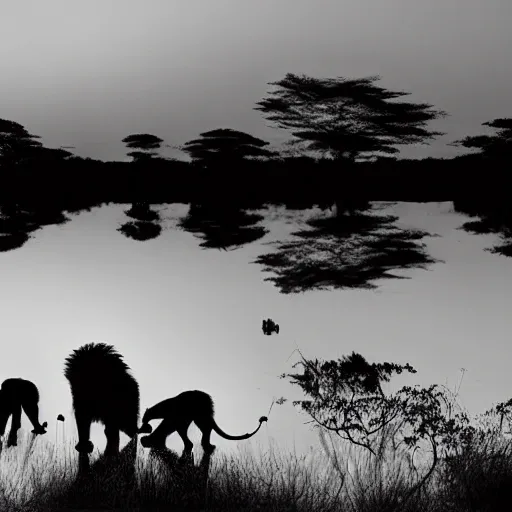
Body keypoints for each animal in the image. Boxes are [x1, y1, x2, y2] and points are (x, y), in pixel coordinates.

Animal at [138, 392, 270, 456]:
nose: (144, 441)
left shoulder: (174, 415)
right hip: (199, 415)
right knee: (206, 428)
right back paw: (206, 445)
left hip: (197, 413)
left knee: (203, 428)